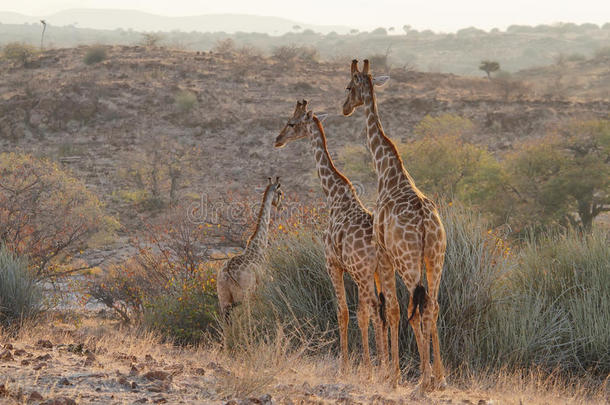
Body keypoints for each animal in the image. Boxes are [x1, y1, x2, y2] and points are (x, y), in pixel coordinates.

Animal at [216, 177, 282, 318]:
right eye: (280, 193)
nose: (281, 206)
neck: (259, 245)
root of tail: (227, 274)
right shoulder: (264, 283)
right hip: (245, 295)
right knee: (247, 316)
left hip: (224, 300)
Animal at [274, 100, 392, 376]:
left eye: (291, 123)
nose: (277, 139)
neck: (334, 195)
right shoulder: (351, 270)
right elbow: (357, 313)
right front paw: (362, 365)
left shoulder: (333, 264)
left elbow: (344, 312)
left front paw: (346, 366)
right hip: (380, 272)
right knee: (384, 310)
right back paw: (387, 367)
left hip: (364, 273)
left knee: (374, 310)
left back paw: (378, 369)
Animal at [342, 58, 446, 392]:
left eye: (348, 87)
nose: (344, 107)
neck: (387, 170)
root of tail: (426, 222)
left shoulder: (384, 254)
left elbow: (391, 308)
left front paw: (393, 375)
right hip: (436, 258)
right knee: (432, 305)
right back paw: (439, 378)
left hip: (407, 260)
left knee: (417, 307)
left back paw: (424, 380)